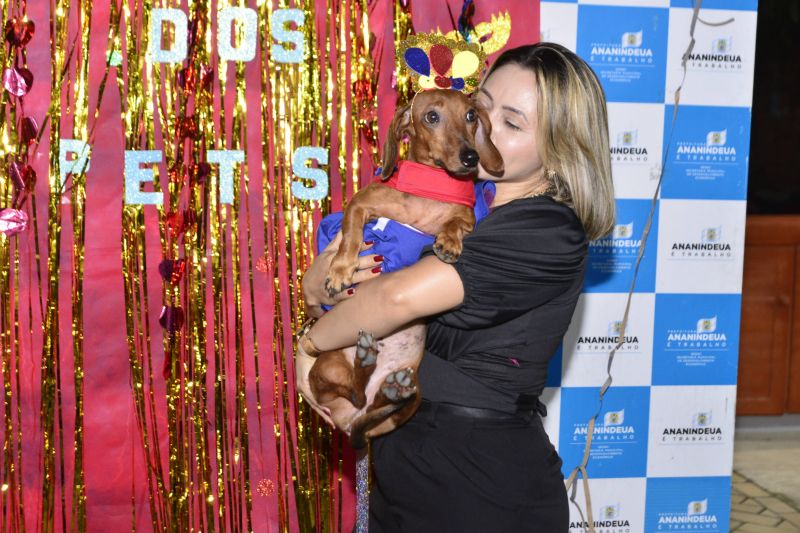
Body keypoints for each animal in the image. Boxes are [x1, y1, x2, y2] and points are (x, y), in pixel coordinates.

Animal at [304, 89, 504, 446]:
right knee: (355, 391)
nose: (470, 158)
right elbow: (351, 235)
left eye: (470, 115)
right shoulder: (361, 205)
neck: (431, 186)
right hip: (327, 365)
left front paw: (448, 241)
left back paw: (390, 389)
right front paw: (340, 271)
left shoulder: (465, 216)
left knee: (373, 399)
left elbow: (455, 222)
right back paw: (367, 365)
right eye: (432, 117)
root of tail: (347, 421)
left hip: (417, 392)